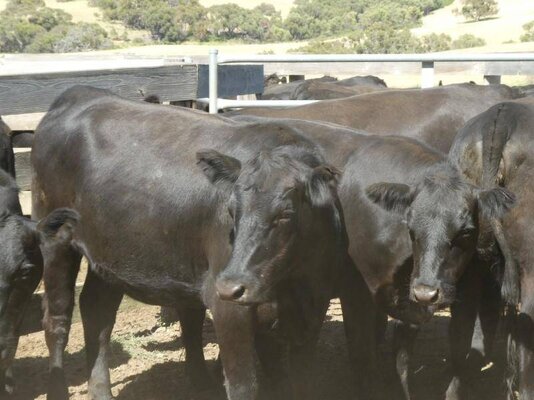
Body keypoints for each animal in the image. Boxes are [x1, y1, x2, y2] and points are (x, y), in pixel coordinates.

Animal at [33, 86, 378, 400]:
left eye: (285, 214)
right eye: (231, 211)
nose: (231, 285)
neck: (292, 280)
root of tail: (80, 94)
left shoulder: (311, 306)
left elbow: (294, 380)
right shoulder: (229, 309)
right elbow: (244, 385)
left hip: (107, 255)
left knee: (98, 312)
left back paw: (101, 390)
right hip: (56, 238)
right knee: (57, 319)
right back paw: (57, 389)